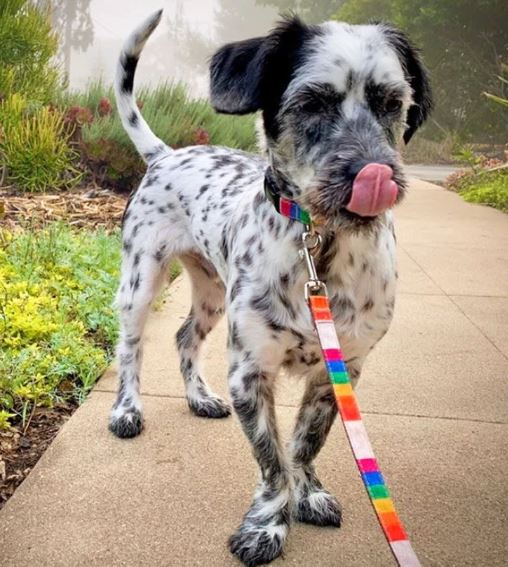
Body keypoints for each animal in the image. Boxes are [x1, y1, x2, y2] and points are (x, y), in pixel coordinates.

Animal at [109, 10, 430, 567]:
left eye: (392, 102)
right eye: (312, 102)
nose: (374, 174)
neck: (319, 245)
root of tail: (165, 154)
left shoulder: (339, 371)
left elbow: (303, 445)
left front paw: (309, 494)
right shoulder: (250, 371)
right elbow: (271, 460)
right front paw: (266, 525)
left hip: (211, 291)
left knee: (184, 337)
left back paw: (199, 397)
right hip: (141, 279)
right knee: (132, 346)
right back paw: (127, 410)